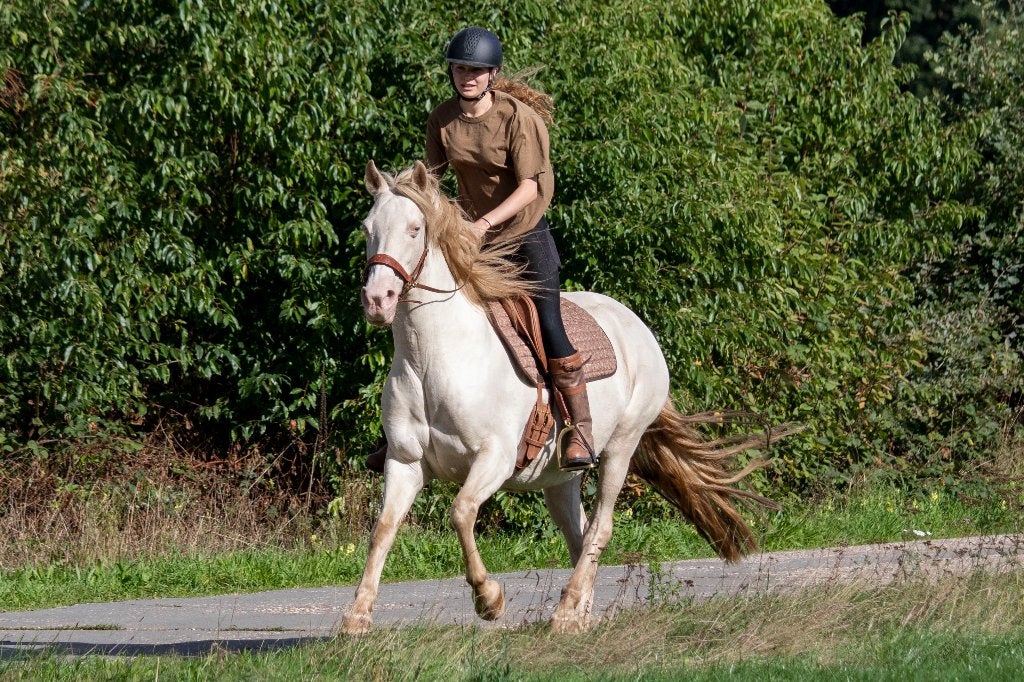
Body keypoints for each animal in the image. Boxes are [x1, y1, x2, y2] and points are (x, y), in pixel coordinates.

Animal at [343, 160, 796, 634]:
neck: (433, 360)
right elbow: (383, 529)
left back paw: (565, 612)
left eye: (415, 229)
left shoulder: (494, 458)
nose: (377, 300)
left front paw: (489, 600)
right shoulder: (405, 462)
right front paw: (356, 618)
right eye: (367, 228)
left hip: (620, 448)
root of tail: (636, 327)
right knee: (577, 534)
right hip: (559, 478)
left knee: (600, 527)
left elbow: (462, 511)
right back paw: (578, 614)